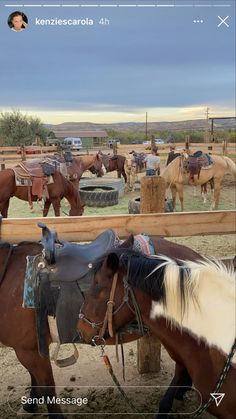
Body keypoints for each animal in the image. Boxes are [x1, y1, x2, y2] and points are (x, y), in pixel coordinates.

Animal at [0, 233, 203, 419]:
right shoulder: (29, 349)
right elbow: (35, 379)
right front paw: (29, 405)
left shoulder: (29, 351)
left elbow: (47, 387)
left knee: (182, 366)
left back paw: (167, 404)